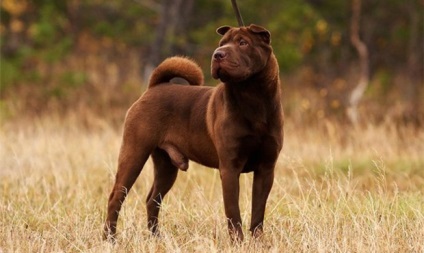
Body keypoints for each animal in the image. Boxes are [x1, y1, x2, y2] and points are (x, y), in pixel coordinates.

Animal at [104, 24, 284, 243]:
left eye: (243, 43)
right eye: (222, 43)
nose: (218, 54)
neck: (253, 100)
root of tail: (154, 87)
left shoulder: (266, 169)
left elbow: (258, 212)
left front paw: (258, 243)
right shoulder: (230, 168)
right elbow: (233, 212)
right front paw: (238, 243)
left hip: (166, 166)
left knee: (152, 199)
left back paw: (156, 237)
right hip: (134, 153)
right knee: (116, 197)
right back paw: (109, 238)